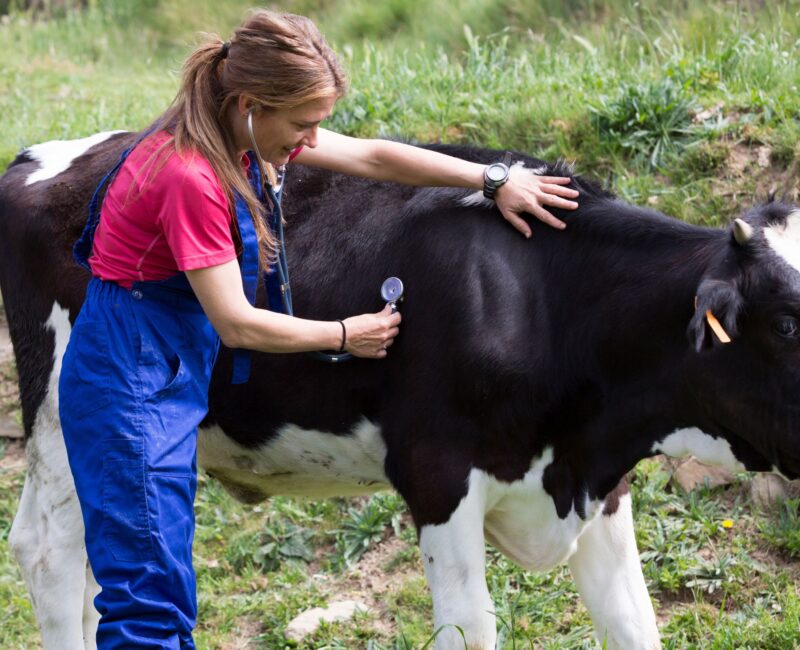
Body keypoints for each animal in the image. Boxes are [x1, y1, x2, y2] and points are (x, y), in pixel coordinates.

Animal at [1, 128, 800, 648]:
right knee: (48, 553)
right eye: (787, 323)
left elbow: (633, 623)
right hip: (66, 412)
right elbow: (471, 630)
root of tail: (40, 157)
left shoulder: (600, 484)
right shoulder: (436, 473)